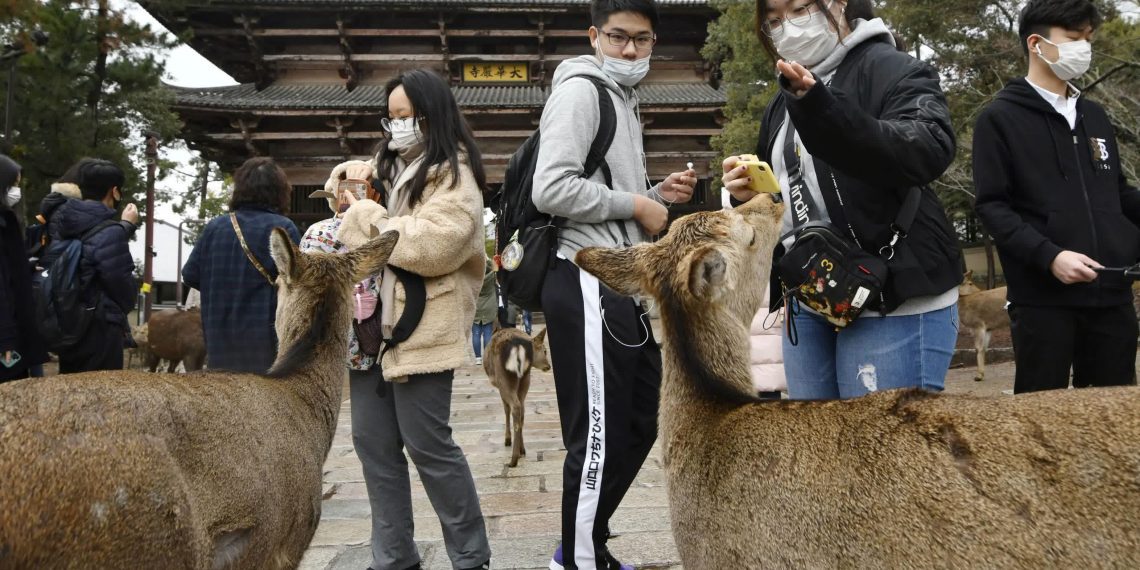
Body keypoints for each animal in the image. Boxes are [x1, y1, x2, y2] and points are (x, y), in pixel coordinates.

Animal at [482, 327, 550, 467]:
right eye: (545, 351)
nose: (548, 366)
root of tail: (518, 347)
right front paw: (520, 449)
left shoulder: (500, 387)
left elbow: (506, 409)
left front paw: (507, 439)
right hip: (525, 378)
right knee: (522, 408)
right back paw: (522, 450)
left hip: (505, 378)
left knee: (515, 406)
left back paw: (513, 460)